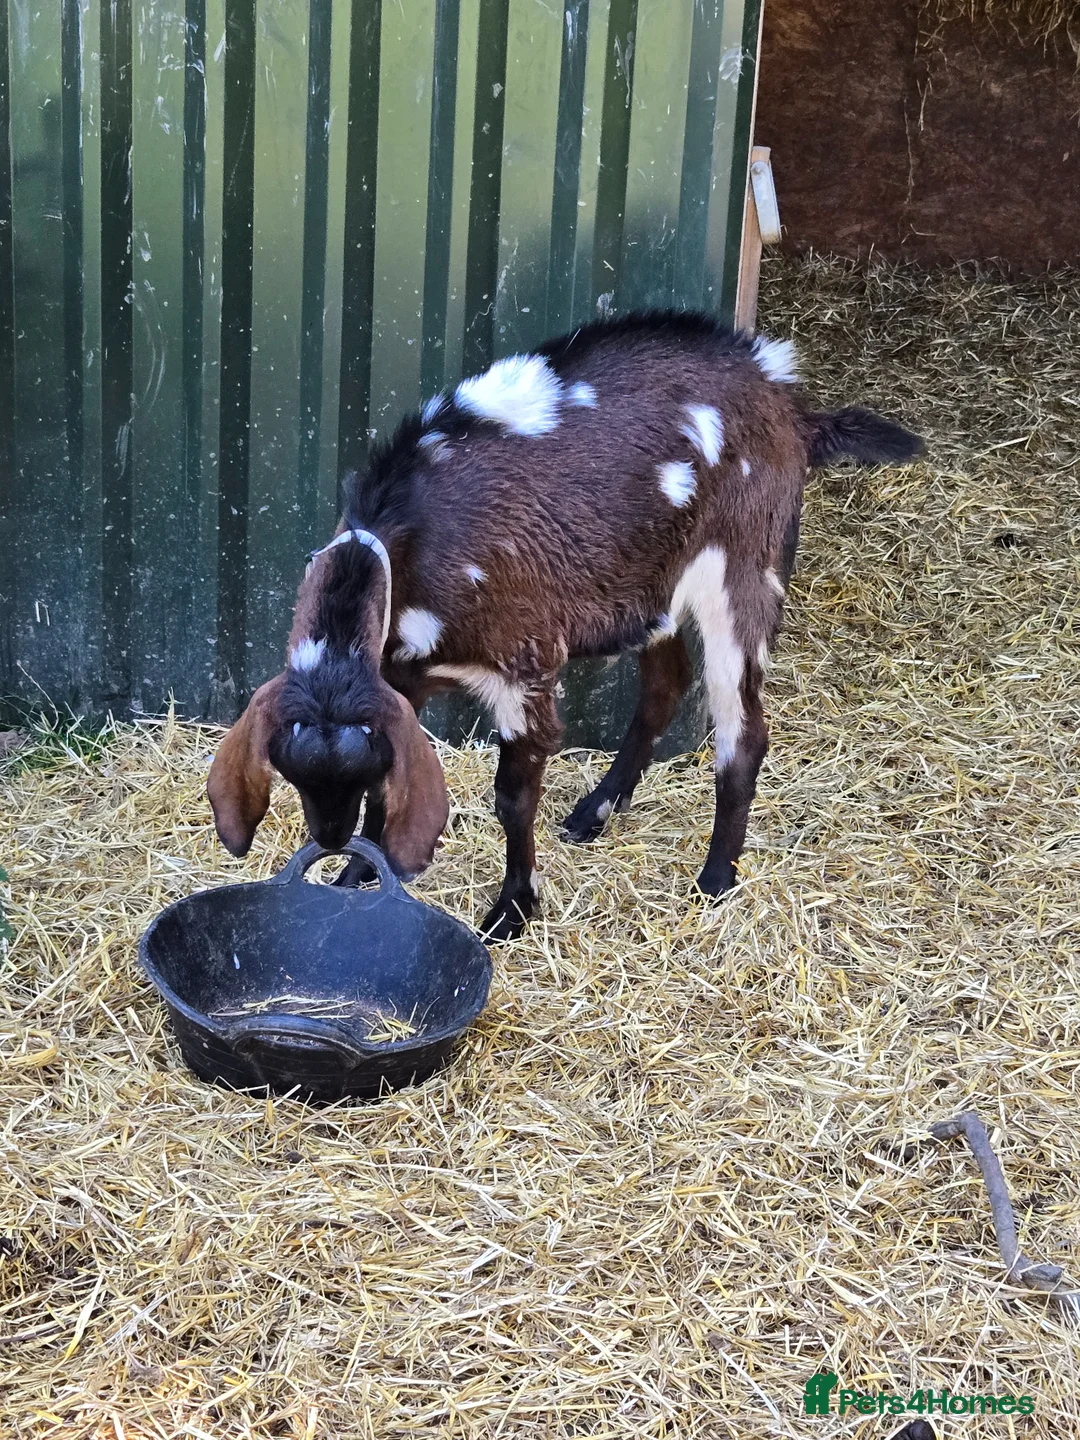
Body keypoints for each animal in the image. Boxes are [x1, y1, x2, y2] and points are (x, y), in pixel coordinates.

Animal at [208, 312, 921, 939]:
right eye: (293, 772)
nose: (329, 838)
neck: (410, 539)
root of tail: (787, 401)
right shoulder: (396, 680)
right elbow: (395, 788)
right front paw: (358, 875)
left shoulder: (524, 668)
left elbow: (512, 798)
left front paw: (512, 911)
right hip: (649, 584)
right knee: (665, 684)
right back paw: (594, 812)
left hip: (743, 566)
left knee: (741, 728)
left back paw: (716, 878)